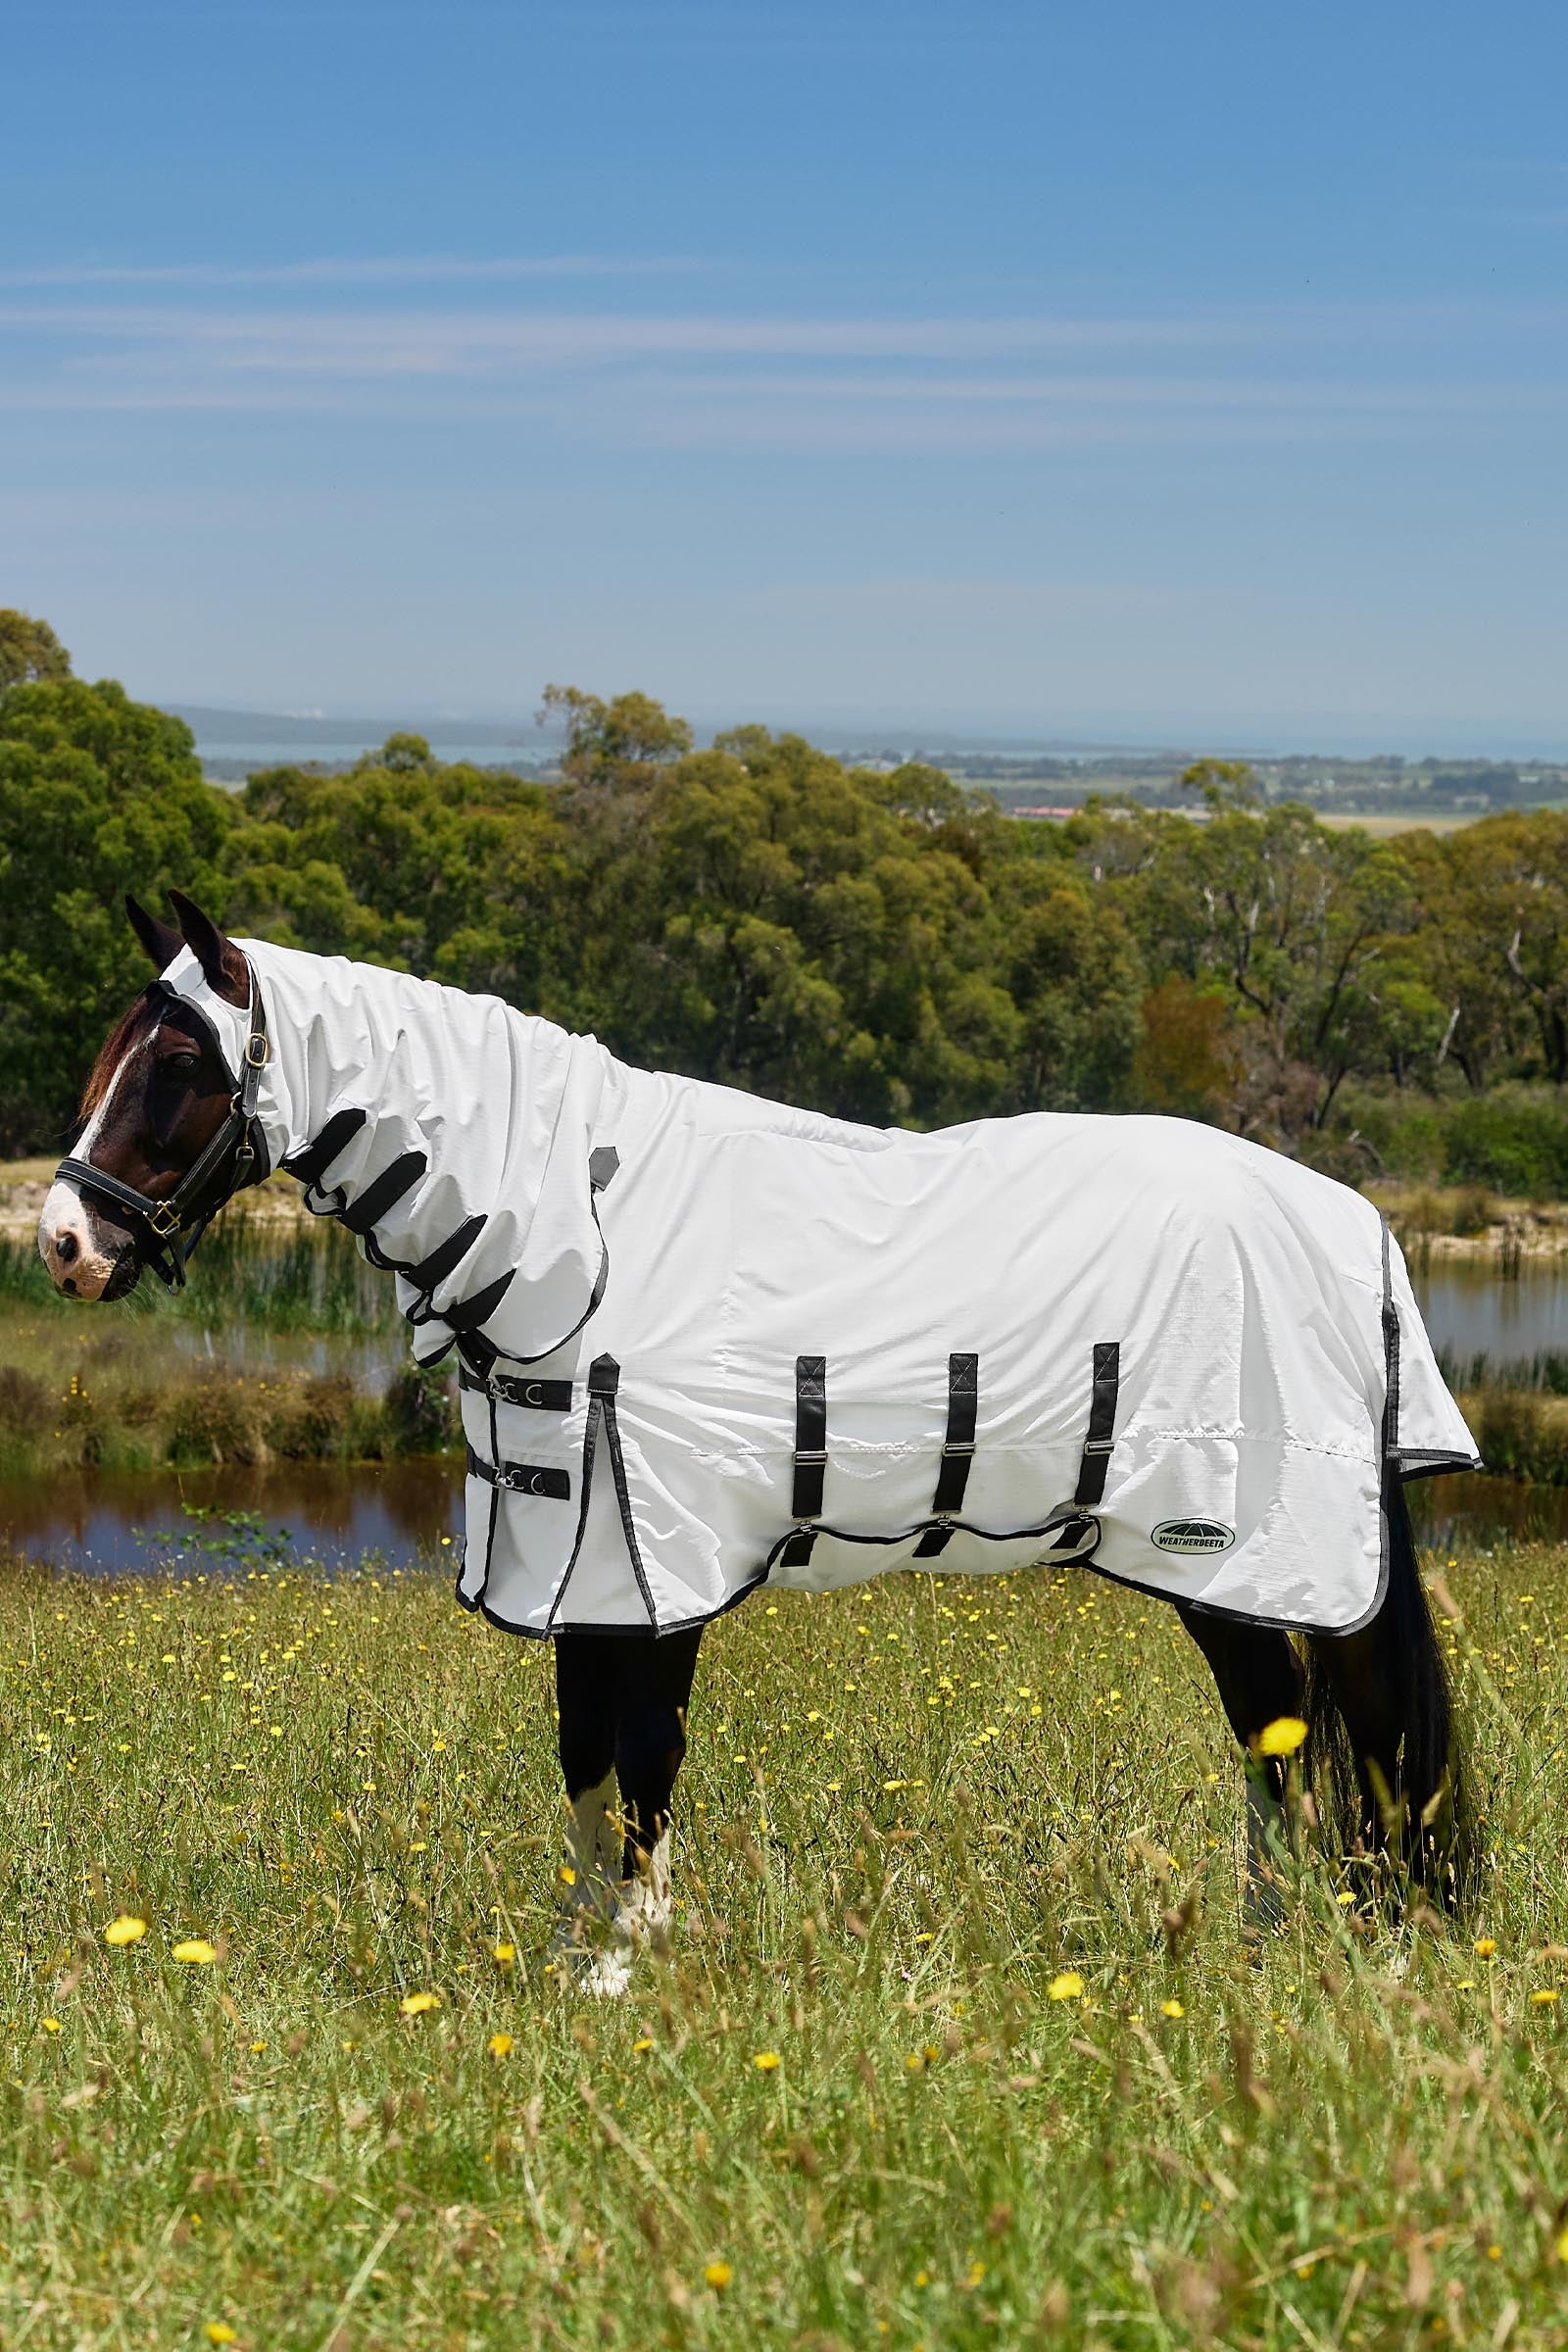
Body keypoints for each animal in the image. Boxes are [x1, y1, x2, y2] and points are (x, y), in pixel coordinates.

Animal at [39, 891, 1477, 1987]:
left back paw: (1376, 1948)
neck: (581, 1236)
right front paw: (587, 1960)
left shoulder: (649, 1568)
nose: (63, 1244)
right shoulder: (573, 1566)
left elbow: (641, 1762)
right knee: (1282, 1744)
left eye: (180, 1067)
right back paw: (1283, 1942)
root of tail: (1357, 1226)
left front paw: (629, 1967)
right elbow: (585, 1764)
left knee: (1347, 1739)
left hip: (1262, 1557)